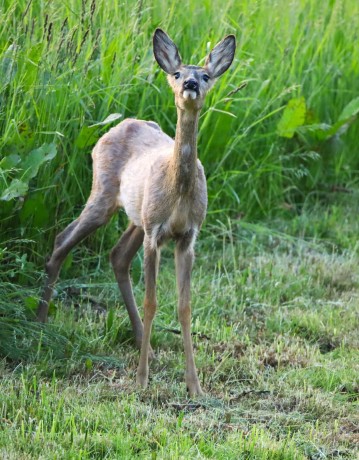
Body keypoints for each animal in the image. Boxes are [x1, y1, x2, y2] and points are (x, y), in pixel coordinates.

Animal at [37, 28, 236, 396]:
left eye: (205, 75)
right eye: (177, 73)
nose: (190, 84)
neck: (178, 188)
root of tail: (119, 125)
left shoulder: (187, 236)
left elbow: (184, 306)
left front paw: (194, 385)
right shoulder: (156, 232)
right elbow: (152, 301)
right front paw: (141, 380)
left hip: (136, 216)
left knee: (117, 255)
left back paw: (147, 344)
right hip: (105, 197)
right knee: (61, 240)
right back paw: (41, 323)